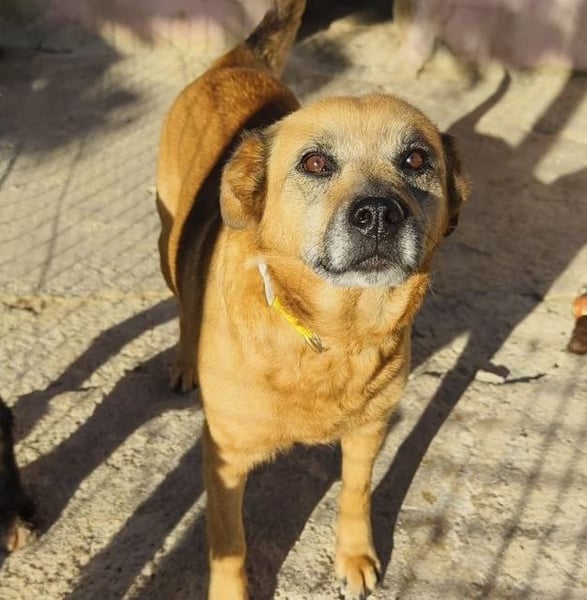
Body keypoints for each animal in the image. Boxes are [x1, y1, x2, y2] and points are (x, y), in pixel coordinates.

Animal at [156, 1, 470, 597]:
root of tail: (238, 62)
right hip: (167, 241)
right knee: (184, 300)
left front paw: (354, 556)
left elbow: (356, 493)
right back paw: (183, 360)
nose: (379, 215)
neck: (333, 334)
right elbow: (229, 543)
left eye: (417, 160)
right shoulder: (224, 459)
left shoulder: (370, 431)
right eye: (316, 164)